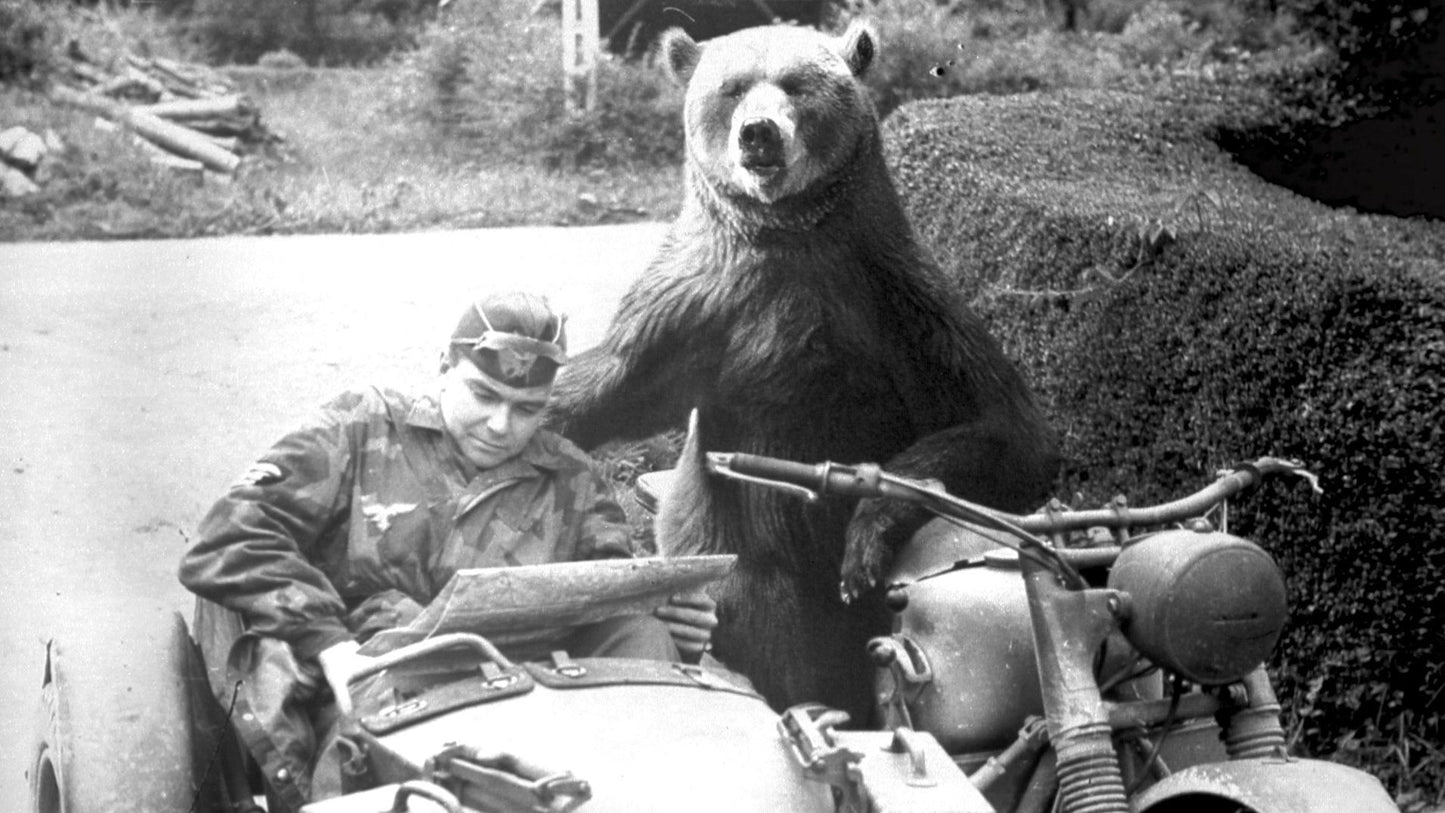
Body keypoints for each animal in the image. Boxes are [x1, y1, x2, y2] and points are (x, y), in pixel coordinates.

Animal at [547, 20, 1059, 721]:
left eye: (795, 84)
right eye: (732, 87)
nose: (758, 133)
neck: (787, 234)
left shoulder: (899, 303)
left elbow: (1005, 428)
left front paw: (865, 538)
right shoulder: (693, 311)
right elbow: (607, 384)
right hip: (738, 543)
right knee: (763, 613)